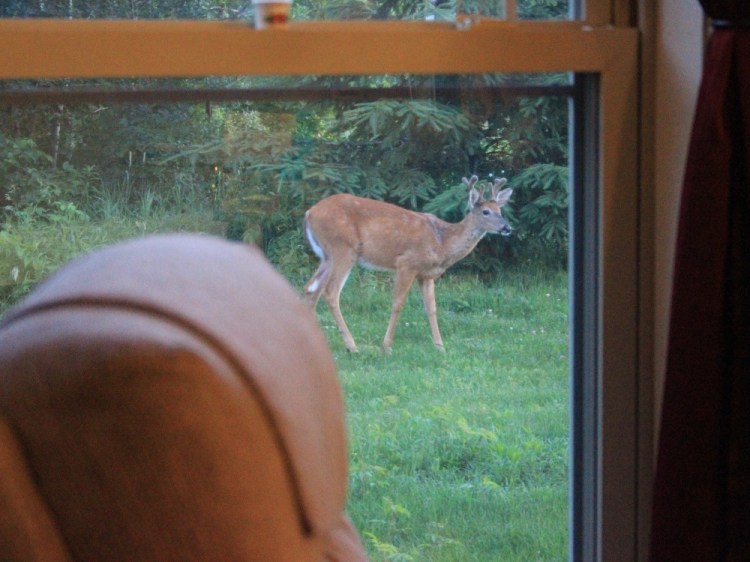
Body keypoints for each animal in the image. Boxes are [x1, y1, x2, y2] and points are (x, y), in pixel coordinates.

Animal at [302, 175, 513, 353]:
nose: (507, 227)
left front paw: (440, 347)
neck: (442, 242)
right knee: (330, 292)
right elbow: (398, 303)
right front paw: (386, 346)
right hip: (343, 248)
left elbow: (431, 308)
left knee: (311, 289)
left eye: (500, 211)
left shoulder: (426, 275)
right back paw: (352, 346)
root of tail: (309, 213)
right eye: (486, 212)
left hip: (327, 255)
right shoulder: (406, 263)